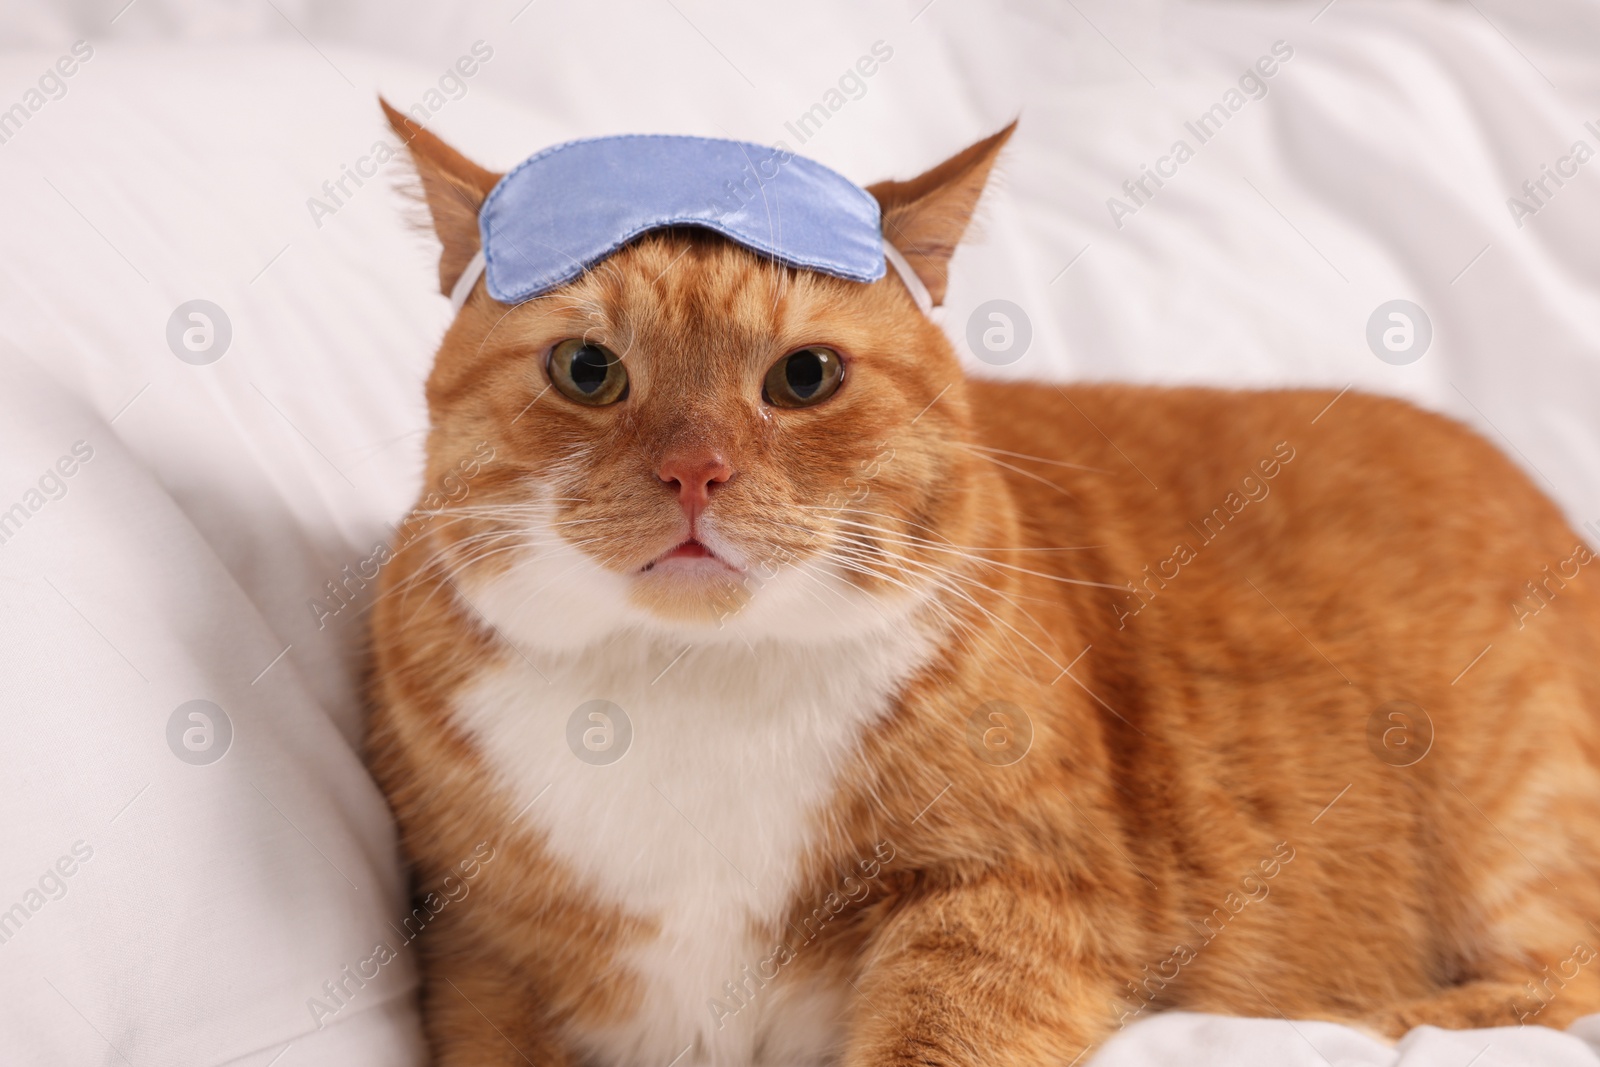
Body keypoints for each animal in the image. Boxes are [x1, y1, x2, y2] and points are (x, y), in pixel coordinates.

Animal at [368, 102, 1600, 1067]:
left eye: (804, 377)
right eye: (588, 369)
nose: (694, 470)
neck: (693, 683)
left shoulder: (1026, 899)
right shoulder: (477, 945)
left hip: (1511, 805)